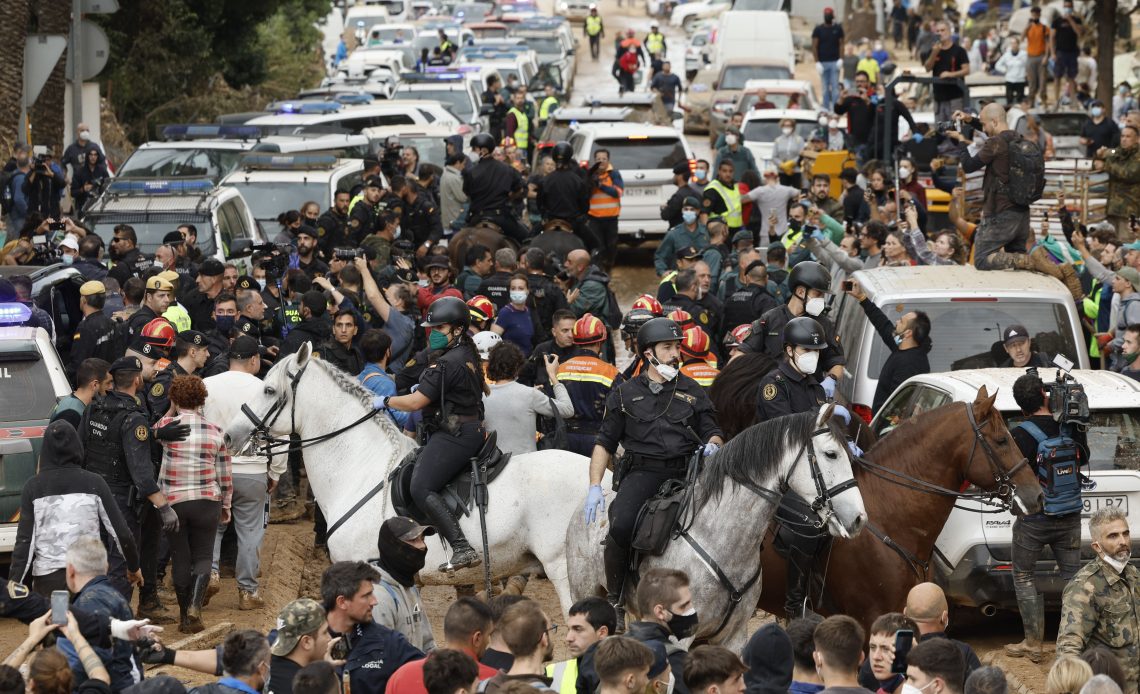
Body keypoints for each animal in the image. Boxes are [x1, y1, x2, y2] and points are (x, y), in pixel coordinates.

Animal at [565, 403, 866, 651]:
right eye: (831, 454)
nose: (859, 519)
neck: (722, 540)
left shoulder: (733, 638)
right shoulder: (680, 637)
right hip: (586, 594)